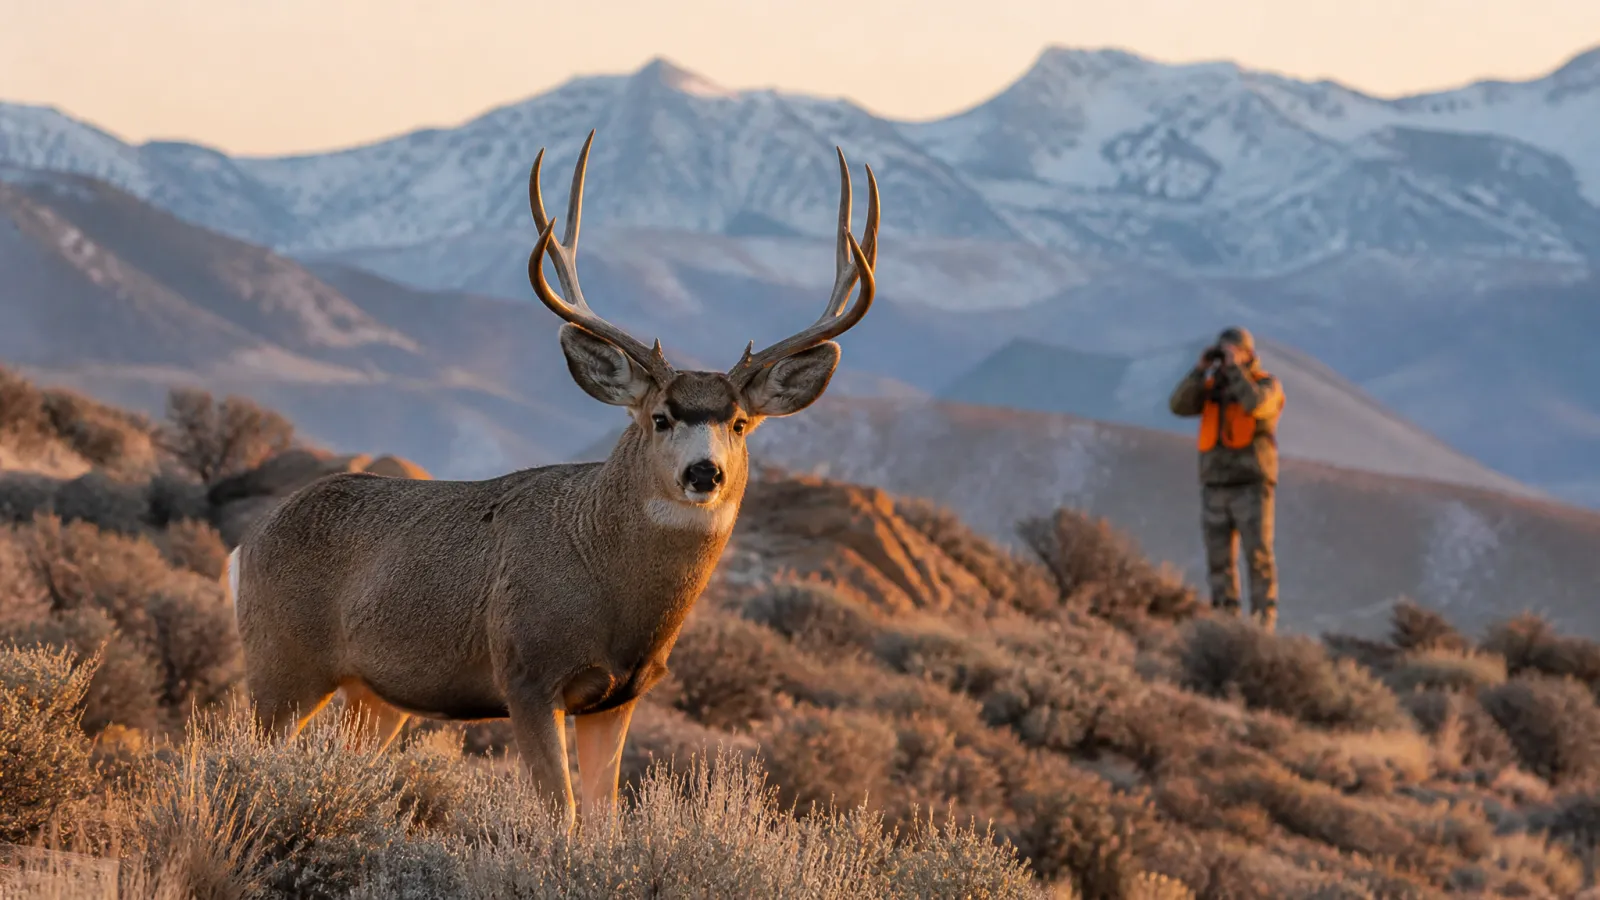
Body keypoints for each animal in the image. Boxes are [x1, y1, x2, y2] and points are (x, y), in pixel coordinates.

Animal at [224, 130, 879, 829]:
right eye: (660, 417)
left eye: (739, 422)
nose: (705, 471)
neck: (612, 589)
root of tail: (246, 544)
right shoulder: (527, 672)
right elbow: (560, 814)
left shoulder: (620, 696)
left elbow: (602, 818)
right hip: (281, 661)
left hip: (375, 694)